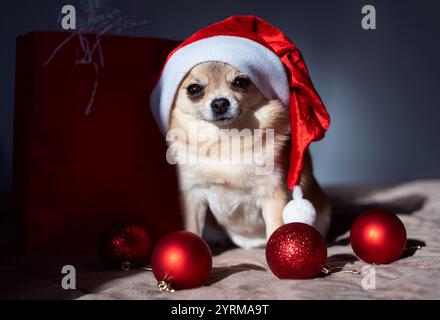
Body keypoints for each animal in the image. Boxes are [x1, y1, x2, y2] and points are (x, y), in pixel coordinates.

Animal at [168, 62, 330, 248]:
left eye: (240, 82)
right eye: (194, 89)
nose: (220, 103)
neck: (225, 142)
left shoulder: (272, 195)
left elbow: (275, 229)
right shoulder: (193, 196)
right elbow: (192, 229)